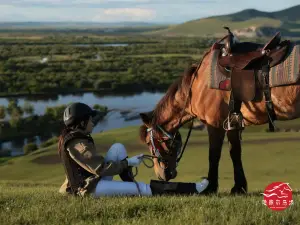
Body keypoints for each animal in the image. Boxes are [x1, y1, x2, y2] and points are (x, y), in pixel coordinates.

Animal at [138, 30, 300, 195]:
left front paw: (211, 187)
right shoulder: (233, 122)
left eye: (148, 142)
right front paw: (239, 187)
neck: (196, 86)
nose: (162, 175)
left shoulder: (214, 123)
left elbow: (214, 155)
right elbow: (235, 152)